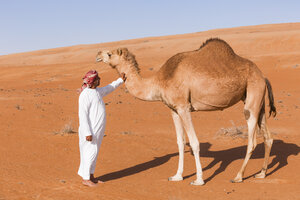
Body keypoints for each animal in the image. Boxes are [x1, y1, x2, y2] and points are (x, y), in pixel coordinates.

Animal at [95, 38, 276, 185]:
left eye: (109, 54)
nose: (97, 54)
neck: (159, 81)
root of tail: (263, 76)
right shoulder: (173, 110)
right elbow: (180, 142)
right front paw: (177, 176)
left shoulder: (184, 107)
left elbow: (194, 143)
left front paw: (198, 180)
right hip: (257, 102)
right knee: (268, 137)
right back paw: (261, 174)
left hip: (252, 97)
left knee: (252, 140)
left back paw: (238, 176)